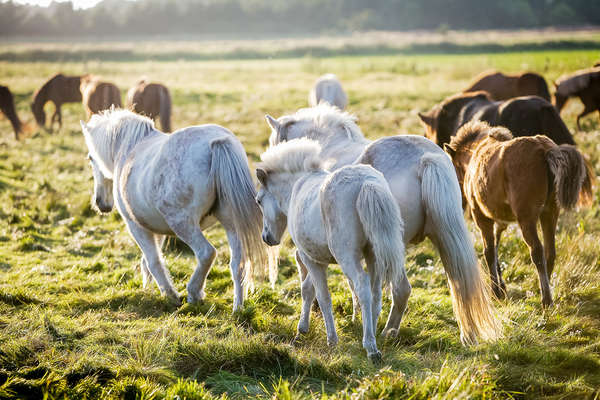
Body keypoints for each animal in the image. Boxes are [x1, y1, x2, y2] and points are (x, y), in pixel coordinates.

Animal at [81, 108, 274, 310]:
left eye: (91, 158)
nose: (100, 203)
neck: (128, 149)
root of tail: (218, 142)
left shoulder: (135, 225)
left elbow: (153, 261)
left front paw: (169, 294)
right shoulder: (155, 226)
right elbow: (149, 260)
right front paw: (149, 288)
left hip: (183, 223)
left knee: (207, 253)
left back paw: (194, 293)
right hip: (231, 223)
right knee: (238, 265)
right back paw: (238, 308)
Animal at [255, 138, 406, 362]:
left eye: (258, 200)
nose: (266, 238)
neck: (297, 186)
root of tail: (366, 182)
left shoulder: (309, 258)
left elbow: (320, 295)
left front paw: (330, 339)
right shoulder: (319, 259)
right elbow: (310, 289)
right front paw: (303, 329)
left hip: (347, 257)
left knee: (362, 286)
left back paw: (370, 346)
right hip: (374, 256)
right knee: (376, 293)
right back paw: (372, 333)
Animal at [266, 102, 502, 344]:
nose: (268, 237)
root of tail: (424, 159)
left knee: (401, 289)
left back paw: (387, 331)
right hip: (442, 237)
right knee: (459, 282)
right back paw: (467, 334)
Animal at [442, 120, 592, 308]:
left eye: (453, 167)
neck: (475, 154)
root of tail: (544, 149)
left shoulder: (482, 218)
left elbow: (489, 251)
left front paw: (497, 291)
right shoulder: (500, 220)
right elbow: (496, 248)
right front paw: (501, 287)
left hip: (527, 219)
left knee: (537, 252)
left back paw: (546, 299)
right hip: (549, 214)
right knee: (550, 252)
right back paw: (543, 288)